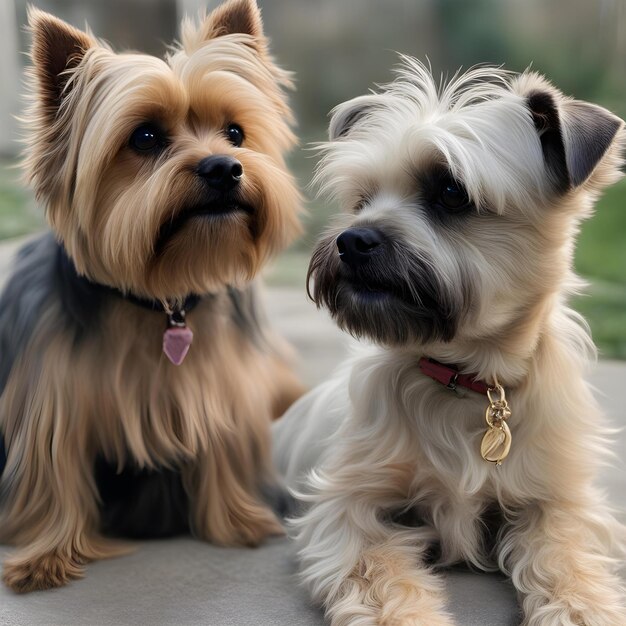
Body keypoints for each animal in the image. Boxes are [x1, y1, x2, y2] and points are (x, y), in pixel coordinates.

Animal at [272, 59, 624, 624]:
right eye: (361, 200)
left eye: (451, 193)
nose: (351, 239)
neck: (467, 378)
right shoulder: (347, 506)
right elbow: (380, 571)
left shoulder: (556, 498)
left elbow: (564, 553)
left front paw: (581, 605)